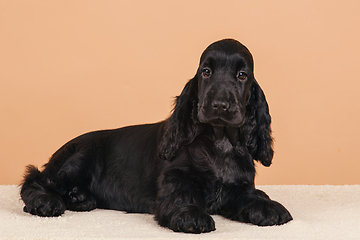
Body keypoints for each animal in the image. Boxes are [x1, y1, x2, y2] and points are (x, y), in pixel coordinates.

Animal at [20, 38, 292, 233]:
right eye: (206, 72)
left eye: (242, 75)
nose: (219, 105)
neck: (220, 141)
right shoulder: (173, 175)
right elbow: (181, 193)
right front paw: (191, 215)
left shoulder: (239, 185)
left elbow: (251, 194)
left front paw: (269, 207)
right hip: (80, 158)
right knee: (35, 179)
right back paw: (46, 202)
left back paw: (80, 198)